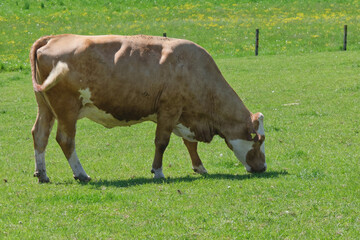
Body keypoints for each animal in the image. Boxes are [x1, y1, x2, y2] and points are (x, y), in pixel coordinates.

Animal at [30, 34, 268, 184]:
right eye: (258, 140)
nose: (264, 168)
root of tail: (54, 37)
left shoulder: (184, 115)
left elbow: (190, 144)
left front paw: (200, 168)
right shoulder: (169, 110)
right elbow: (162, 143)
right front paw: (158, 172)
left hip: (45, 107)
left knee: (40, 135)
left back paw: (42, 174)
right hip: (66, 109)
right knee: (65, 139)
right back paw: (81, 174)